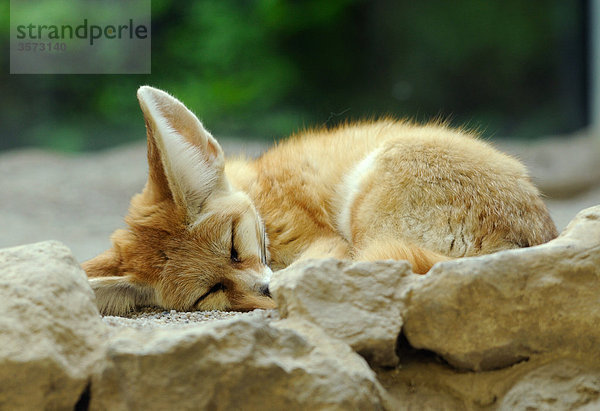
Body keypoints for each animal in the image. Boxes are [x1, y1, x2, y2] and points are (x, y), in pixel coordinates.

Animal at [83, 86, 556, 316]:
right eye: (209, 292)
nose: (267, 288)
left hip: (367, 197)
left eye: (234, 247)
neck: (261, 196)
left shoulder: (324, 240)